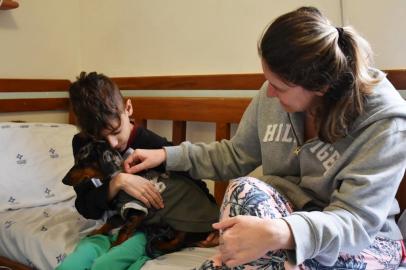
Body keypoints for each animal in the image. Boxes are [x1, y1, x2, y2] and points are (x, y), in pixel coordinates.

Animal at [61, 140, 219, 256]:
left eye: (81, 161)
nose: (63, 180)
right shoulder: (122, 211)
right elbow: (110, 222)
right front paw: (96, 232)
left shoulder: (137, 210)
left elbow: (123, 230)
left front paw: (113, 246)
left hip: (185, 224)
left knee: (178, 243)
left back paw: (157, 243)